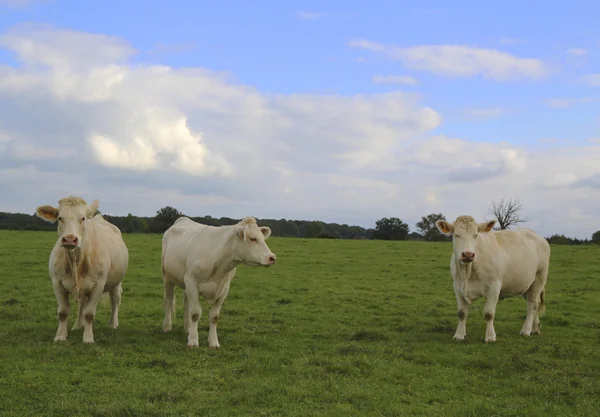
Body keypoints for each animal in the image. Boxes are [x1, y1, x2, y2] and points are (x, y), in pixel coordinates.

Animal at [35, 197, 129, 342]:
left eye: (83, 218)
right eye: (60, 218)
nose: (69, 239)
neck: (76, 261)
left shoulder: (98, 284)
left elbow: (89, 313)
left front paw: (88, 338)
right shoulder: (57, 282)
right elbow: (63, 312)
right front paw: (60, 336)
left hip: (116, 283)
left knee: (115, 300)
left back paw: (113, 324)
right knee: (81, 305)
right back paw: (78, 325)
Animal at [159, 214, 276, 348]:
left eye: (263, 238)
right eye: (252, 238)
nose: (272, 258)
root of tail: (182, 219)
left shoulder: (224, 289)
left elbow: (214, 316)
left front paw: (213, 342)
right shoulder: (192, 283)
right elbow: (195, 313)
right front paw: (193, 341)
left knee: (186, 302)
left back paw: (188, 328)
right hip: (168, 277)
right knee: (168, 299)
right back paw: (167, 326)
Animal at [434, 214, 552, 342]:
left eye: (476, 235)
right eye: (456, 235)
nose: (468, 254)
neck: (468, 271)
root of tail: (537, 236)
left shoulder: (494, 287)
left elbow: (489, 313)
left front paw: (490, 336)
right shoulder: (457, 286)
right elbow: (461, 313)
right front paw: (459, 335)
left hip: (539, 278)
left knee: (532, 305)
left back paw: (526, 330)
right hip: (527, 284)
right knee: (536, 303)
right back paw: (535, 329)